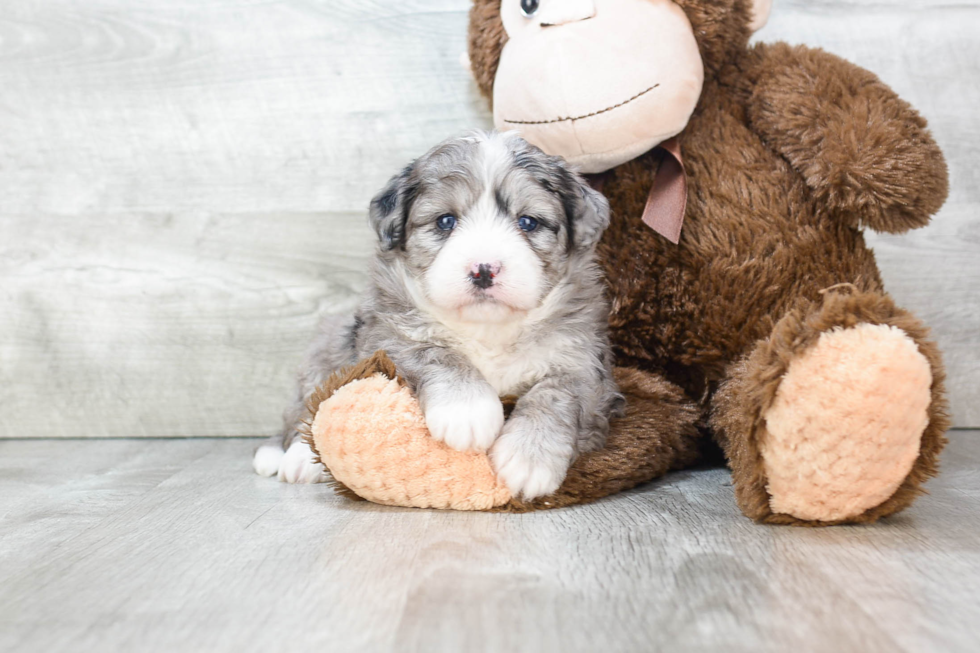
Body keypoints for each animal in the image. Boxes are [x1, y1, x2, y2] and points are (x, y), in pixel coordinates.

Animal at [253, 132, 620, 500]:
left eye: (528, 222)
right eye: (446, 221)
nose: (483, 269)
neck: (489, 331)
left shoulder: (584, 365)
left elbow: (556, 394)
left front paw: (529, 456)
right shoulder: (390, 337)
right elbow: (437, 353)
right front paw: (468, 411)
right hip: (328, 344)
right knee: (307, 409)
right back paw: (295, 459)